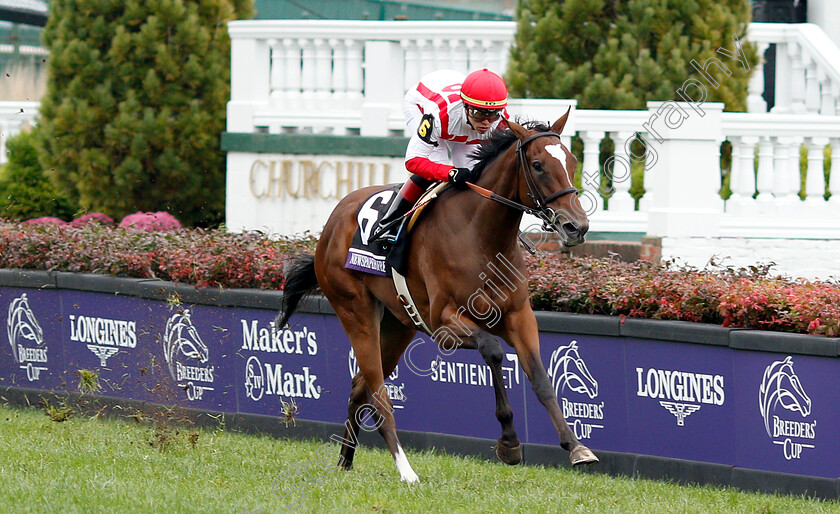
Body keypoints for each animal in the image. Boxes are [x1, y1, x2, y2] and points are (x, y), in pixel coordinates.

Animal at [278, 111, 596, 480]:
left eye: (571, 161)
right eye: (538, 165)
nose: (577, 227)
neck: (480, 234)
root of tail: (332, 221)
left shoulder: (519, 315)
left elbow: (542, 379)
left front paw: (576, 447)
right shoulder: (444, 322)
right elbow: (492, 350)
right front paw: (509, 442)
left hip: (397, 325)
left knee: (360, 387)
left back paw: (345, 460)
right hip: (355, 311)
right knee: (379, 397)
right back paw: (406, 471)